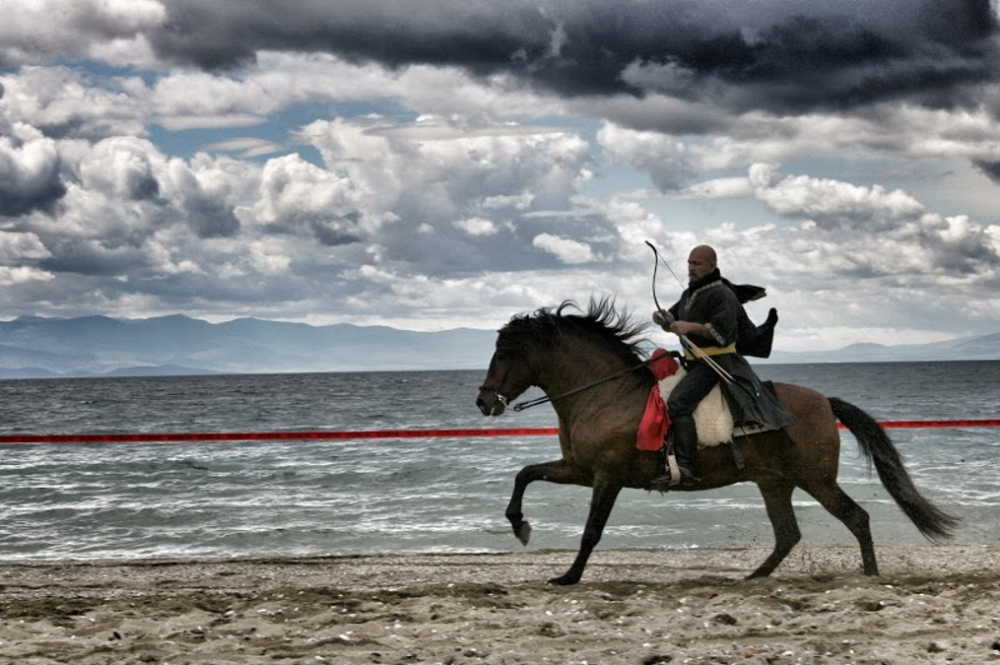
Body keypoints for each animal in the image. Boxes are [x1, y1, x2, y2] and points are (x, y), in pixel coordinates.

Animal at [475, 299, 958, 585]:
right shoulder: (579, 469)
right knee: (788, 533)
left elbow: (592, 530)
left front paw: (568, 577)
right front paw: (519, 526)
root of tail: (825, 402)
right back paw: (754, 577)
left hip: (815, 479)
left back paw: (870, 575)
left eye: (505, 353)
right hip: (774, 481)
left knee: (855, 518)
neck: (606, 393)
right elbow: (525, 475)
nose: (483, 401)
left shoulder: (606, 476)